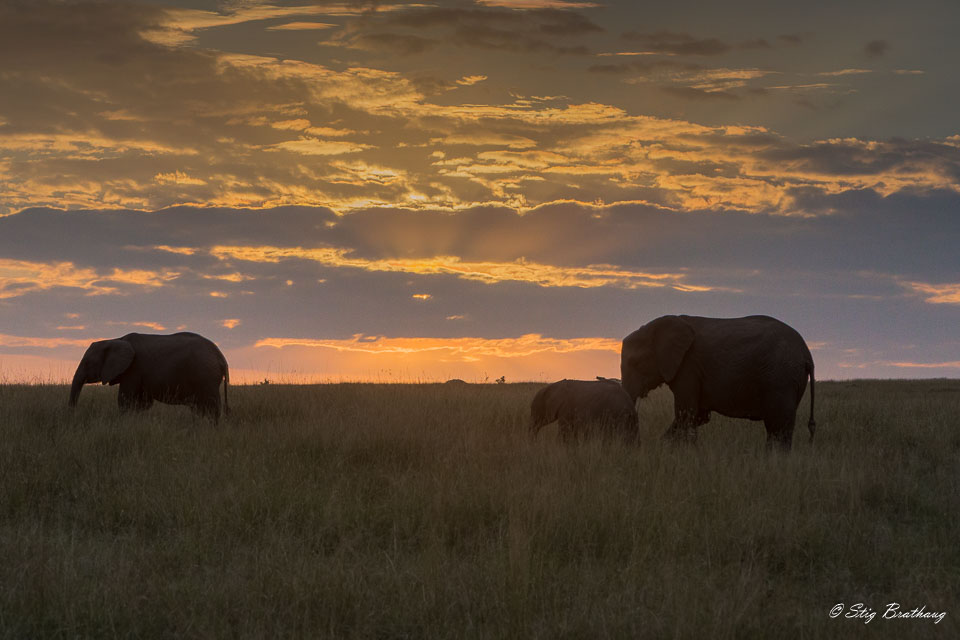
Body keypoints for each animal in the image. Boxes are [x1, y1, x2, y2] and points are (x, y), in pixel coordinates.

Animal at [68, 332, 231, 422]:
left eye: (88, 363)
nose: (73, 415)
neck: (114, 339)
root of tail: (221, 357)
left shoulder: (133, 368)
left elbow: (124, 399)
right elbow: (143, 403)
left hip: (206, 377)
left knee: (211, 406)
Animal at [620, 316, 812, 450]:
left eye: (635, 362)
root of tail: (806, 353)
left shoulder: (688, 366)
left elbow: (686, 413)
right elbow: (698, 415)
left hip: (781, 378)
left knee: (779, 427)